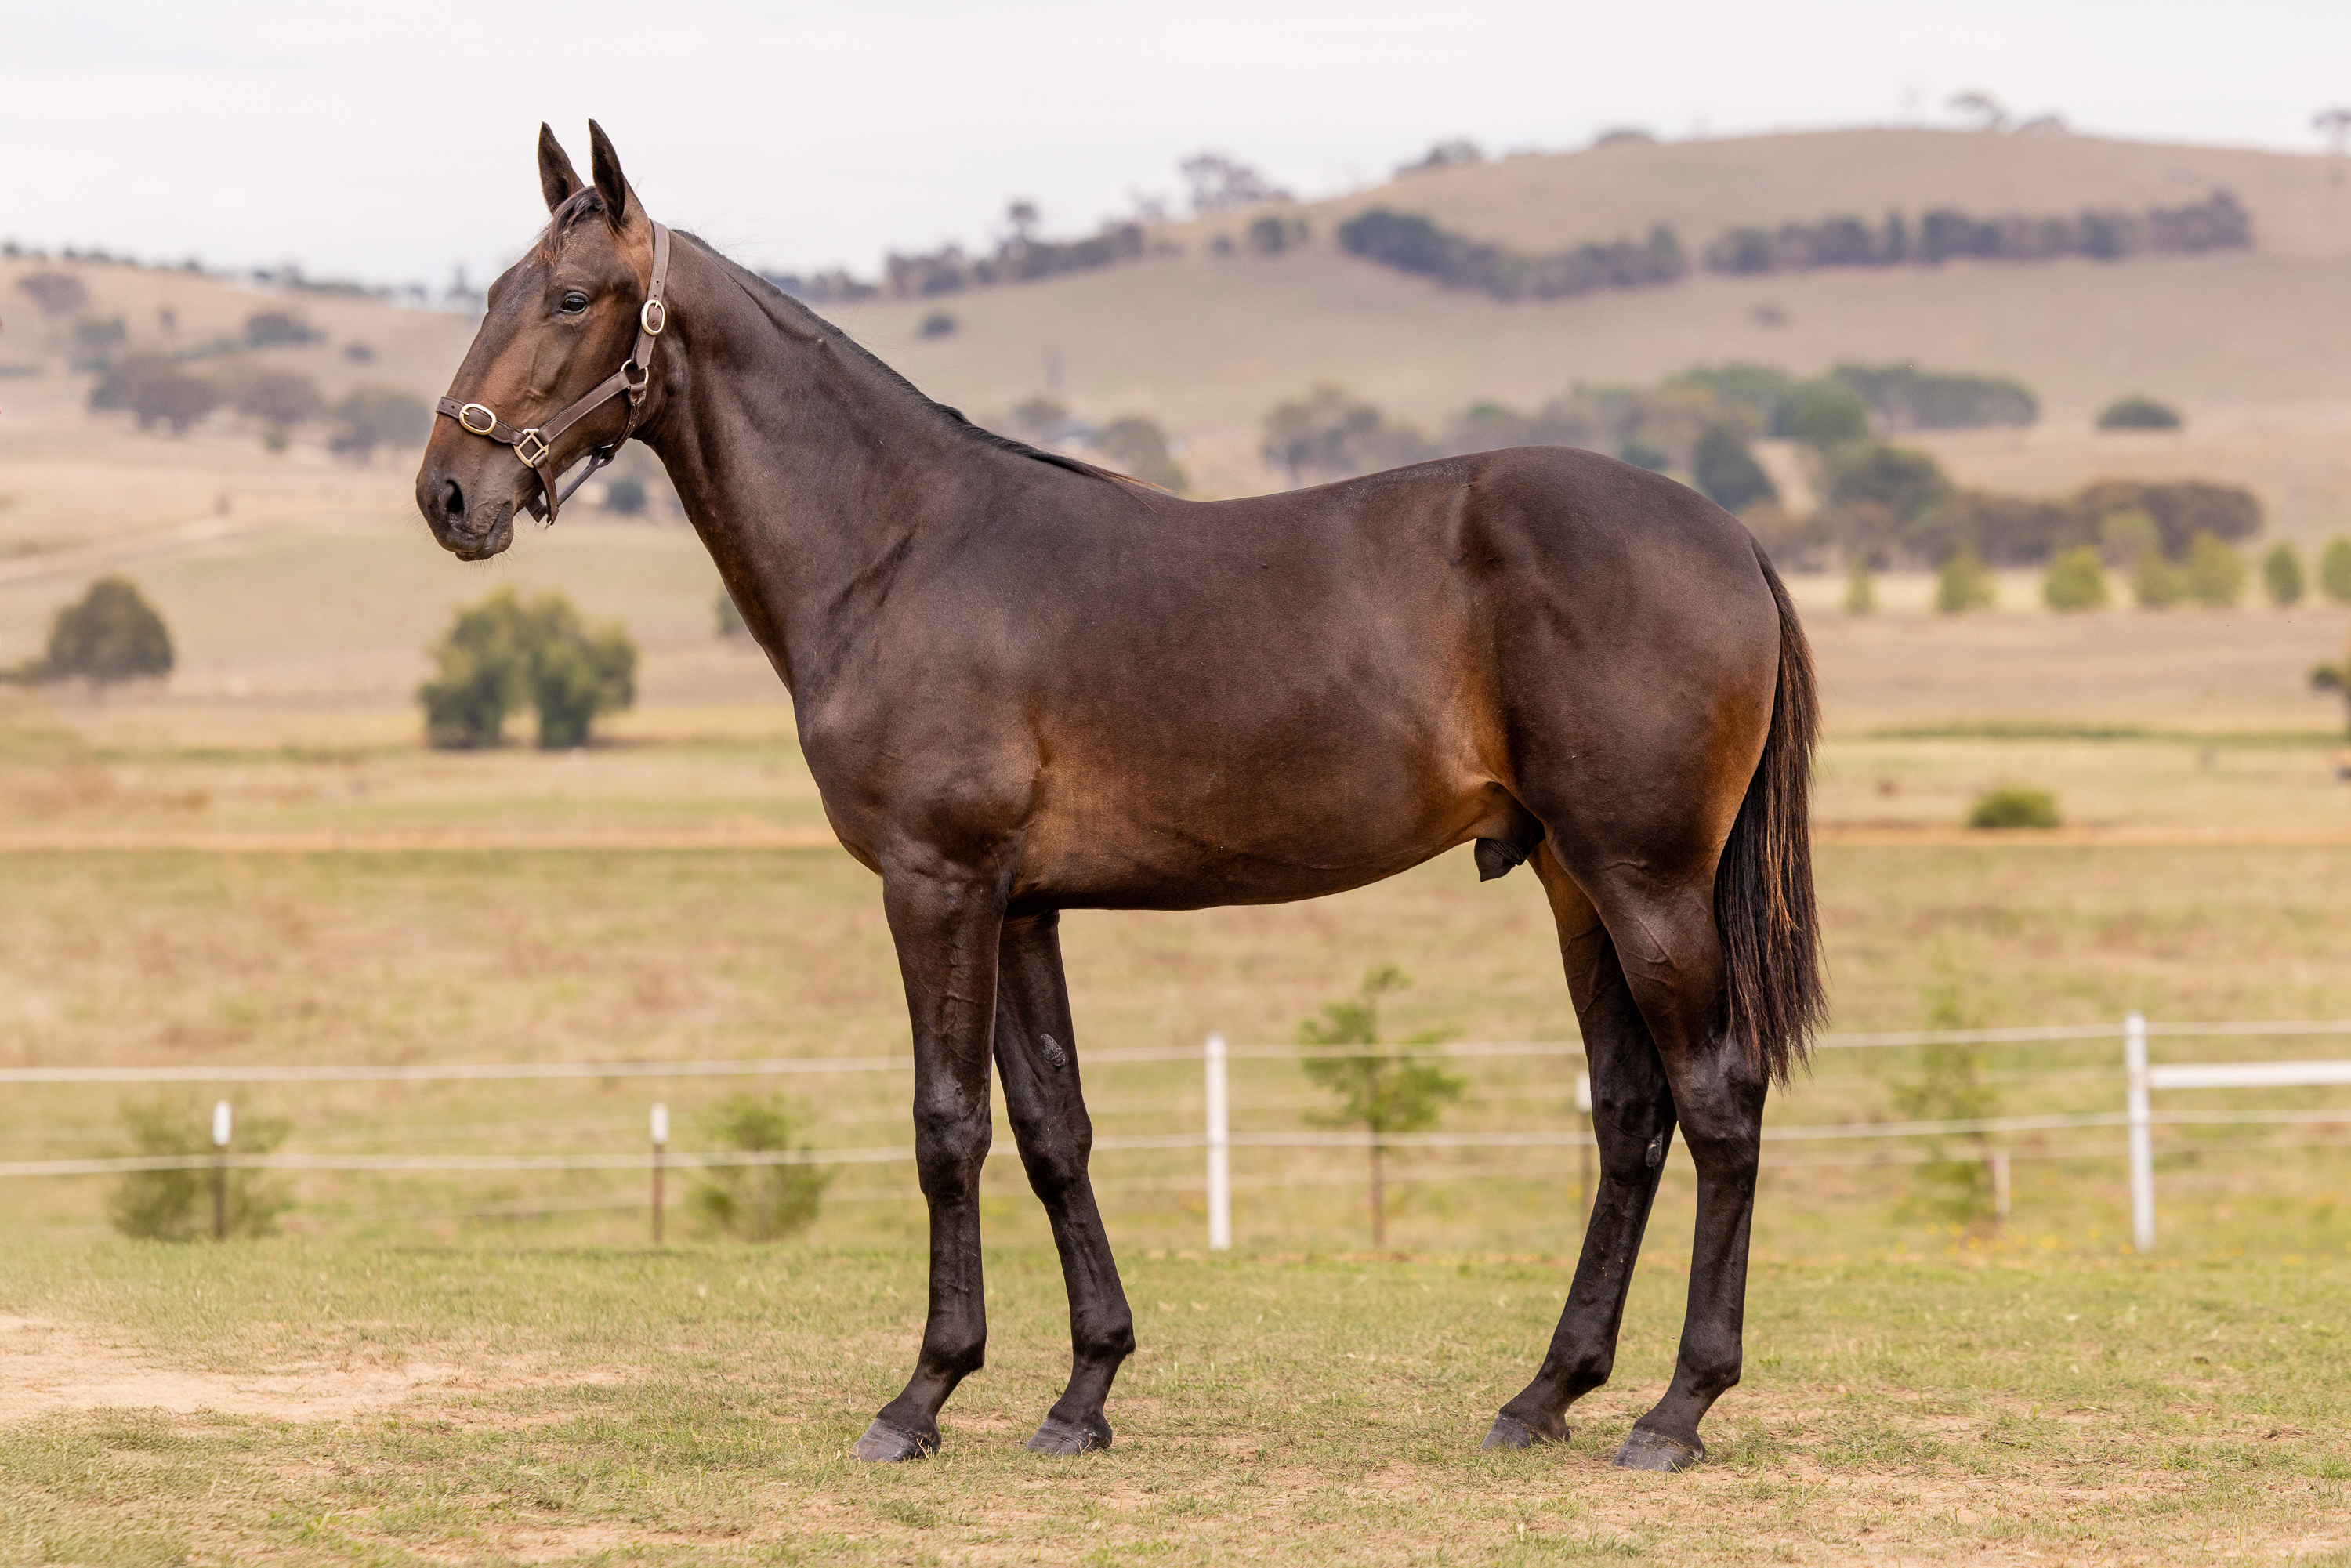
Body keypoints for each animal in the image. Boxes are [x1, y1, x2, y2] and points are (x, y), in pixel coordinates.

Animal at [415, 122, 1824, 1473]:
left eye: (572, 297)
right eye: (491, 292)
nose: (448, 495)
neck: (896, 546)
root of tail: (1731, 536)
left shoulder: (939, 885)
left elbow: (947, 1127)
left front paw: (921, 1396)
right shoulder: (1022, 904)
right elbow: (1054, 1129)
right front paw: (1084, 1391)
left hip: (1645, 883)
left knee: (1720, 1101)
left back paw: (1677, 1410)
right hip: (1575, 884)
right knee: (1633, 1114)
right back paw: (1546, 1394)